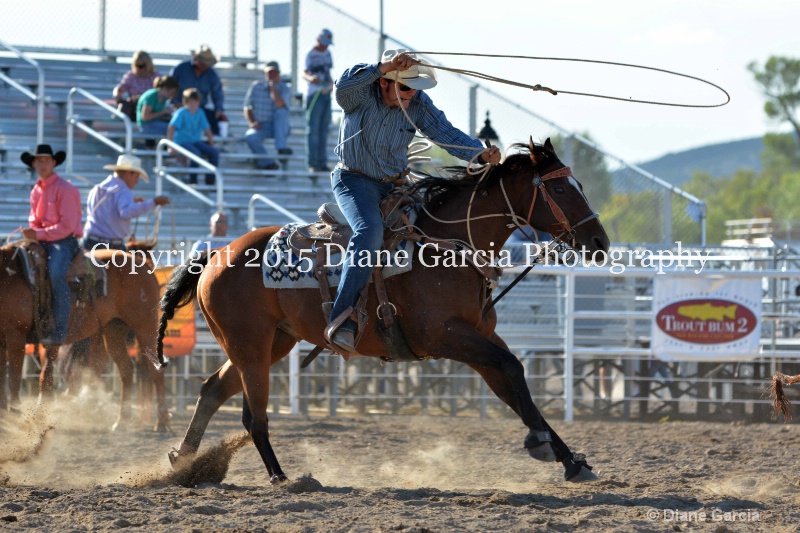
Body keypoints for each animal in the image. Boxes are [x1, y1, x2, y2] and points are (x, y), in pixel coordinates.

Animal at [0, 245, 169, 432]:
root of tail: (143, 264)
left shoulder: (16, 335)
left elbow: (14, 378)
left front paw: (15, 414)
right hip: (113, 330)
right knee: (126, 370)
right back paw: (121, 421)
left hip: (145, 327)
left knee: (156, 371)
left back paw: (161, 423)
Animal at [159, 139, 608, 484]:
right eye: (562, 191)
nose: (600, 242)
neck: (447, 246)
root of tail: (218, 253)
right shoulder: (446, 336)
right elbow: (513, 371)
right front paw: (544, 444)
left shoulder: (480, 337)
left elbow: (514, 386)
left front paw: (570, 459)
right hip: (249, 345)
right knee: (254, 416)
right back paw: (281, 477)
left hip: (271, 344)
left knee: (212, 390)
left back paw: (183, 463)